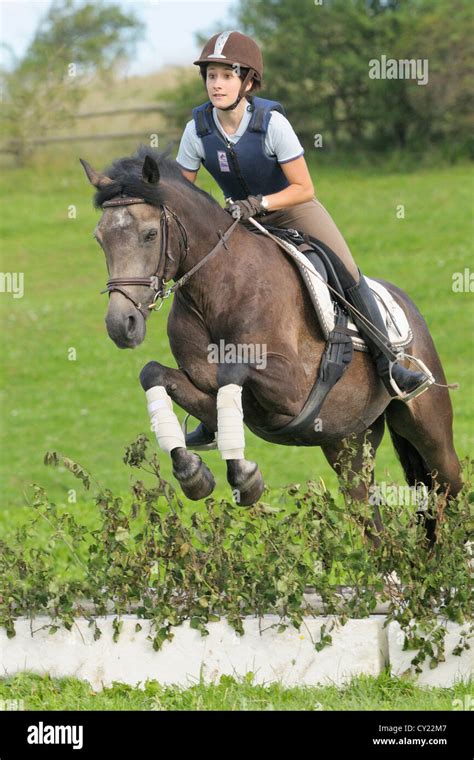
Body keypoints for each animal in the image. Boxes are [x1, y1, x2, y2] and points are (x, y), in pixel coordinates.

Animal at [79, 145, 462, 544]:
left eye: (150, 234)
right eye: (100, 238)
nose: (121, 324)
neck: (218, 290)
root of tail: (406, 302)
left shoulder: (293, 389)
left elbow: (233, 371)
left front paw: (244, 478)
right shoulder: (206, 387)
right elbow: (155, 374)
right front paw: (193, 473)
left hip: (429, 426)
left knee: (449, 486)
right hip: (349, 441)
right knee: (372, 521)